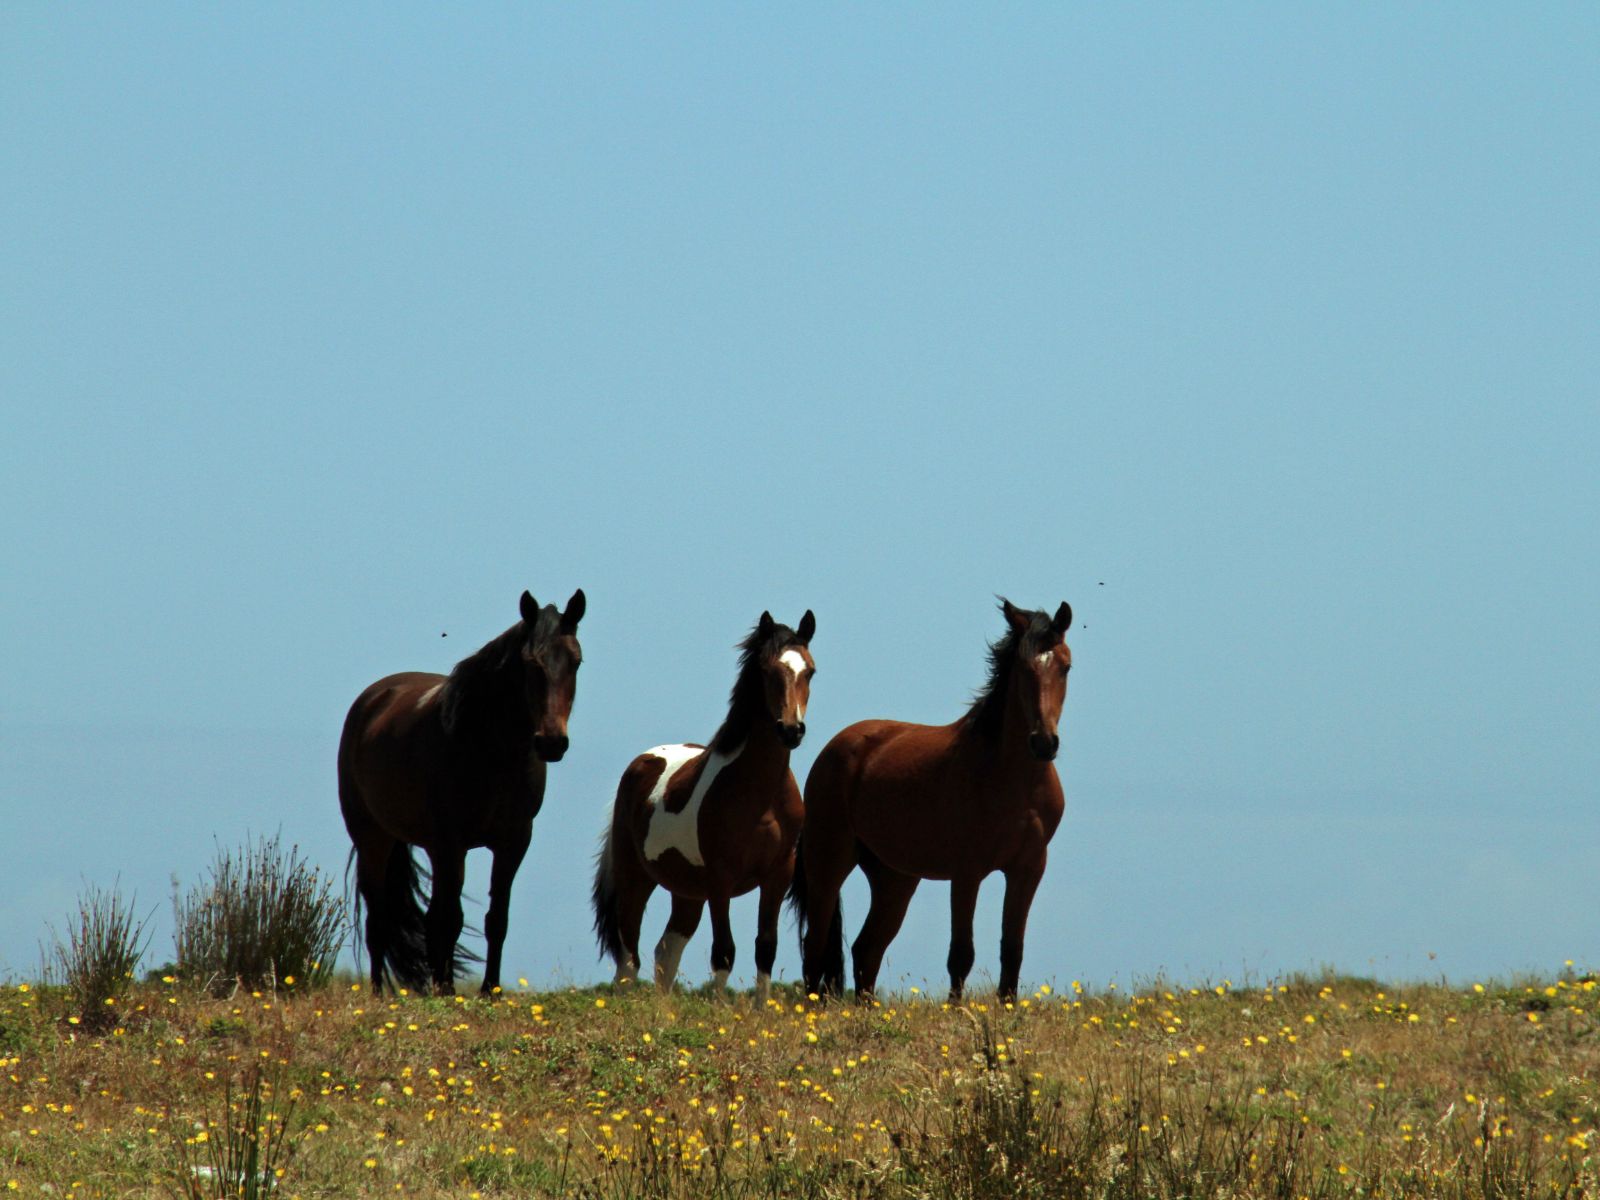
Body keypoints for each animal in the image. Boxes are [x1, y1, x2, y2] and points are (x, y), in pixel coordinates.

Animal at [338, 588, 586, 994]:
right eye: (529, 662)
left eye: (576, 662)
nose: (551, 742)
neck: (490, 750)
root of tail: (373, 699)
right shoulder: (450, 842)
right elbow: (451, 918)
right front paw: (449, 991)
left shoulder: (513, 842)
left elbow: (496, 919)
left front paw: (489, 991)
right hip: (373, 837)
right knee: (380, 919)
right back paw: (378, 992)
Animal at [592, 609, 815, 1005]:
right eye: (767, 670)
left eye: (810, 671)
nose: (791, 730)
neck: (762, 798)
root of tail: (641, 763)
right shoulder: (720, 880)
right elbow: (724, 951)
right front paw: (720, 1009)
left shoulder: (777, 875)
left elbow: (765, 947)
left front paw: (759, 1010)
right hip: (636, 878)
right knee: (628, 954)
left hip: (686, 893)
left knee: (665, 951)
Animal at [789, 598, 1071, 1004]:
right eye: (1023, 667)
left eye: (1065, 666)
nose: (1044, 742)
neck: (1015, 782)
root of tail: (834, 748)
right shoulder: (967, 871)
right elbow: (961, 954)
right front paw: (959, 1012)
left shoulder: (1028, 868)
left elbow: (1012, 950)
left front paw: (1007, 1008)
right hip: (829, 861)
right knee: (816, 946)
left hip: (895, 879)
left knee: (866, 950)